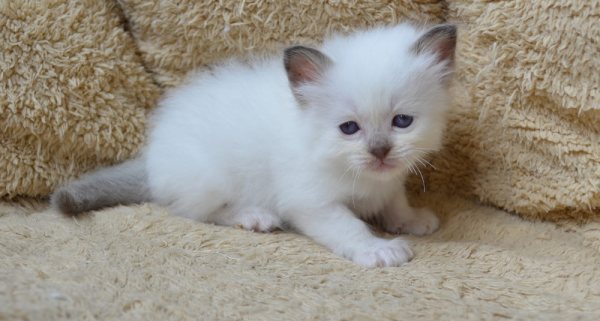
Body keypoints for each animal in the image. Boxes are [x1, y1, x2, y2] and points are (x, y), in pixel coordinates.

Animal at [52, 23, 454, 266]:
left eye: (402, 122)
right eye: (349, 128)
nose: (380, 151)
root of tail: (154, 155)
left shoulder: (390, 181)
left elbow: (395, 201)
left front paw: (410, 220)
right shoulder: (311, 202)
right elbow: (349, 227)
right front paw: (378, 249)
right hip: (210, 177)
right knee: (193, 211)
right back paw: (253, 216)